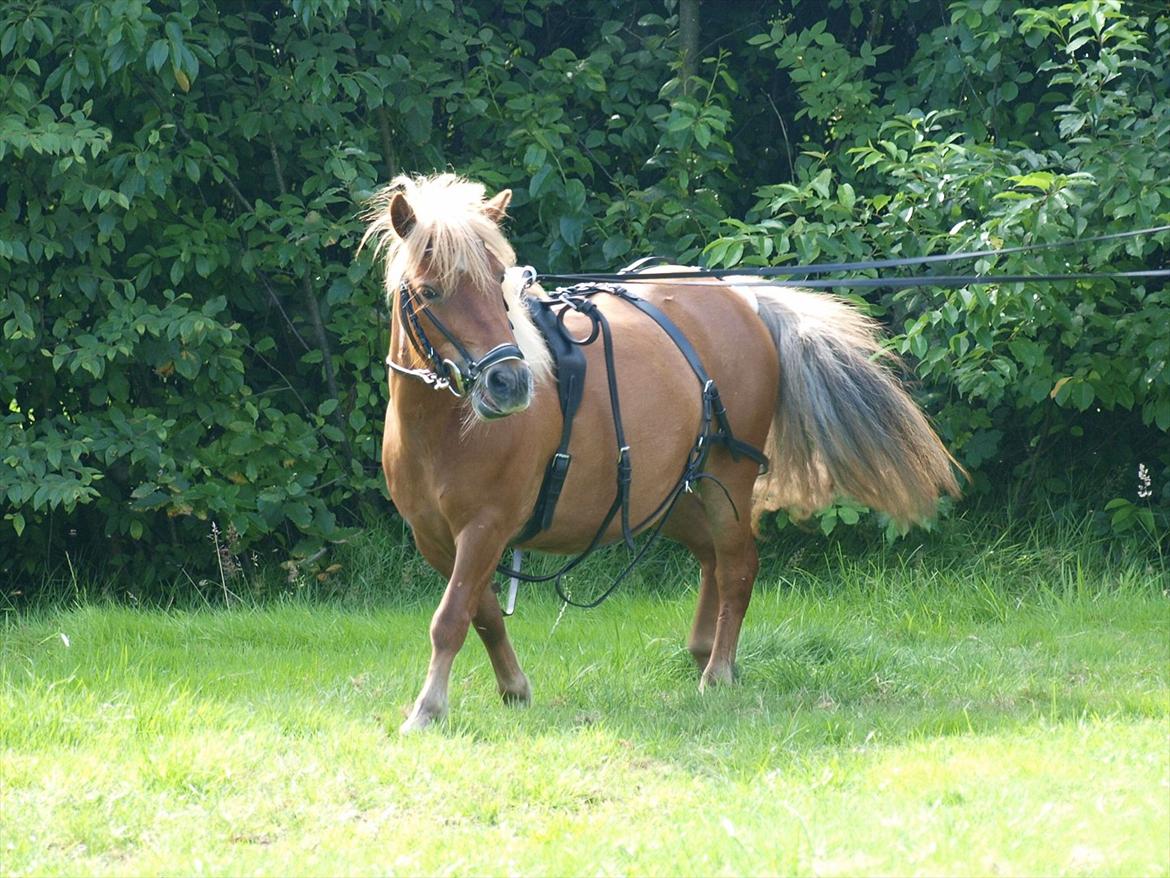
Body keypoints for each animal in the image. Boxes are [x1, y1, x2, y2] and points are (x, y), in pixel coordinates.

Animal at [362, 173, 959, 735]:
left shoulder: (486, 526)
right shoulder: (438, 538)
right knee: (712, 561)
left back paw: (717, 670)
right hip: (674, 499)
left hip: (727, 484)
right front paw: (513, 688)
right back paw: (705, 651)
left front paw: (428, 709)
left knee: (737, 567)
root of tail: (739, 298)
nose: (509, 383)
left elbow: (451, 617)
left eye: (498, 284)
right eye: (431, 292)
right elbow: (481, 612)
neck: (441, 431)